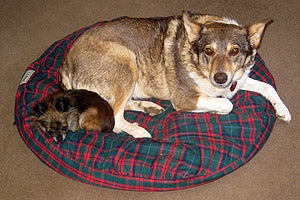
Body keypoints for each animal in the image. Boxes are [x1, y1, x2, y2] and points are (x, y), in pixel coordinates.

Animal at [59, 11, 292, 138]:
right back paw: (139, 131)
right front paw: (213, 109)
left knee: (116, 106)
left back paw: (148, 107)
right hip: (127, 62)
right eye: (208, 51)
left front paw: (283, 110)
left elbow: (267, 86)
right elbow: (227, 104)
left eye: (235, 51)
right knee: (115, 116)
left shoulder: (238, 80)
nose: (220, 78)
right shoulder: (185, 97)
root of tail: (66, 62)